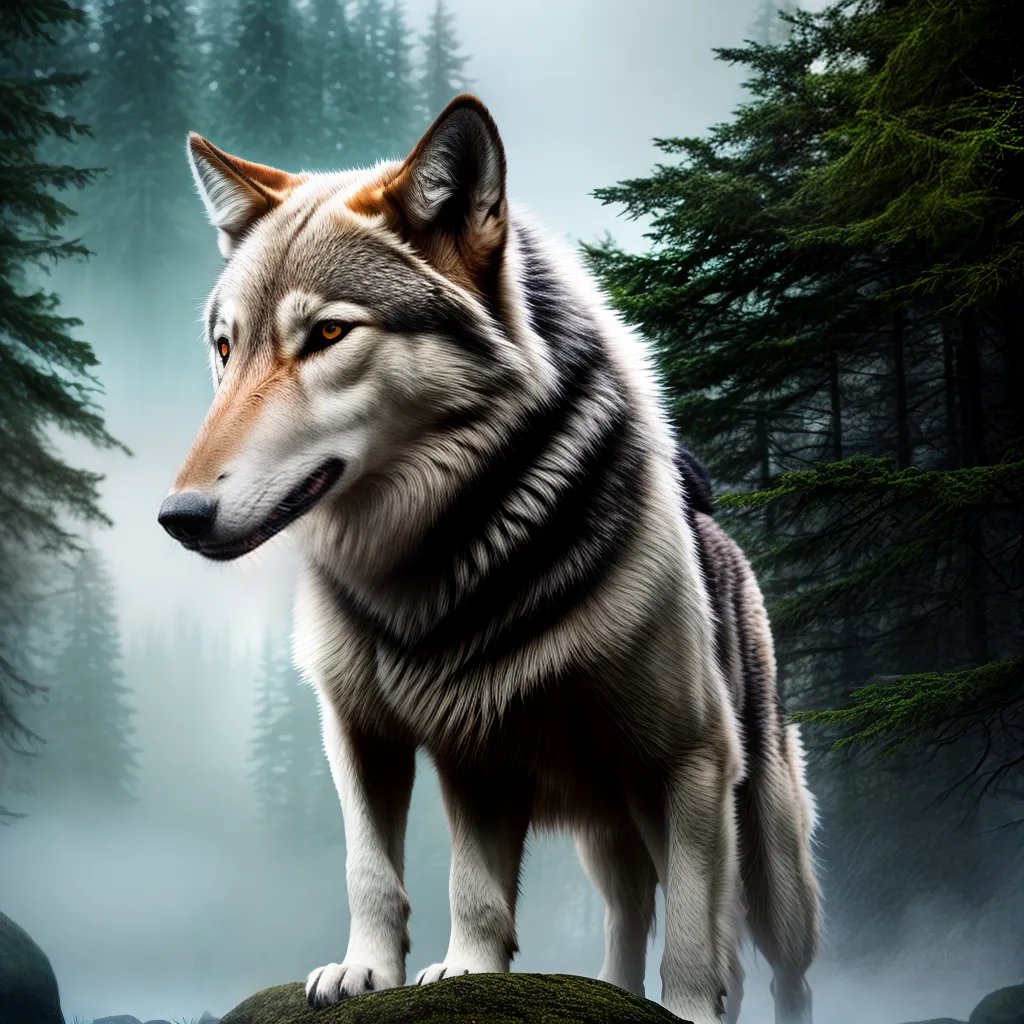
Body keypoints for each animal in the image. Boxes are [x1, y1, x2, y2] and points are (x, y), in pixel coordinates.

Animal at [159, 95, 821, 1024]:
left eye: (328, 333)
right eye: (226, 347)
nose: (177, 518)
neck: (426, 569)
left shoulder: (688, 761)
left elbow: (694, 938)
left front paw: (687, 1010)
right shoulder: (398, 739)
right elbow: (399, 875)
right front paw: (387, 973)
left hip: (762, 852)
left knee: (771, 962)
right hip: (609, 837)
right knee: (628, 914)